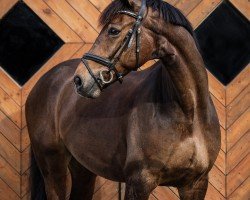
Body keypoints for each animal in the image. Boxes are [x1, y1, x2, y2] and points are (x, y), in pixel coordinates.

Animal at [25, 0, 221, 200]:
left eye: (113, 30)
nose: (79, 80)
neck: (188, 114)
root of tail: (45, 81)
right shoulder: (139, 182)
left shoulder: (195, 185)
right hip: (53, 167)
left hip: (82, 168)